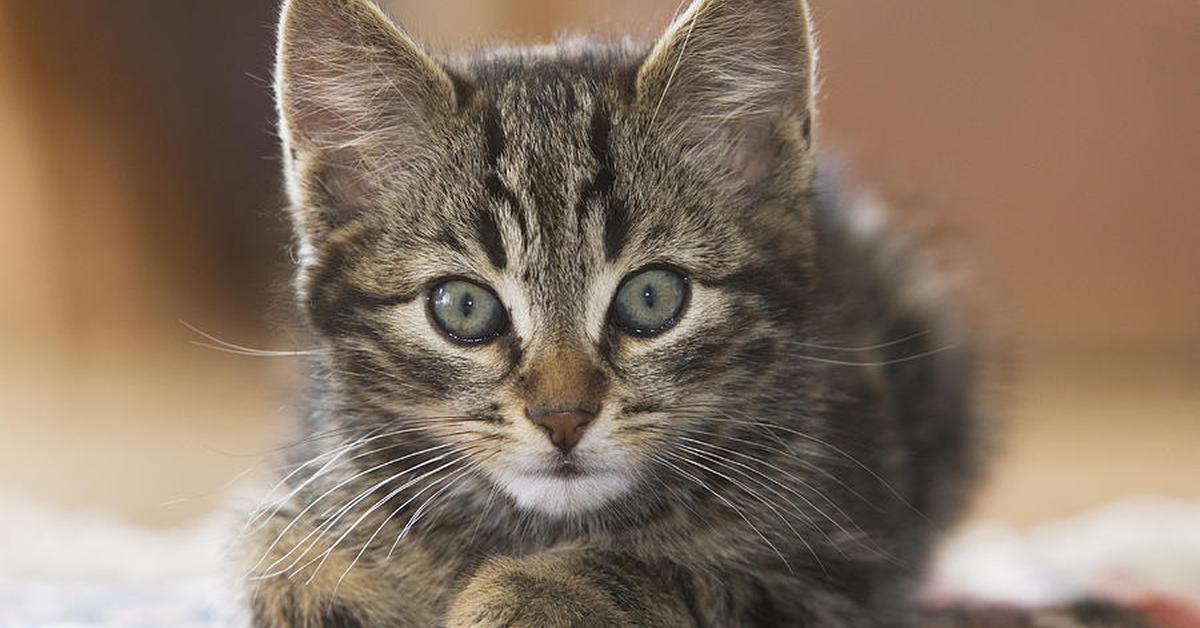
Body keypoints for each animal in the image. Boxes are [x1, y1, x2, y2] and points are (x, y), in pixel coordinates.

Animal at [238, 0, 988, 624]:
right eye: (465, 308)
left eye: (651, 298)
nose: (563, 419)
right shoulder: (310, 484)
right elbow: (280, 556)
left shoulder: (839, 569)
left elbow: (674, 572)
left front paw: (525, 595)